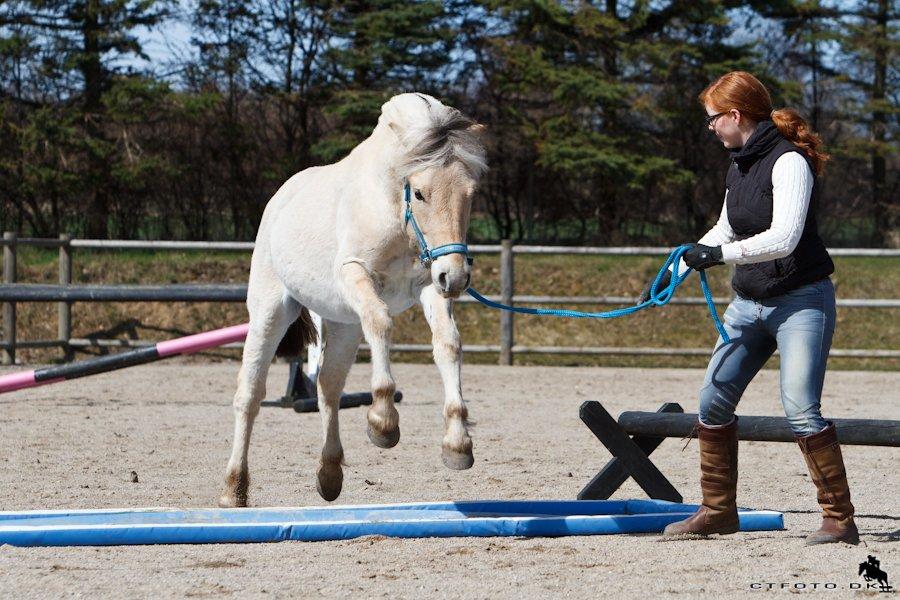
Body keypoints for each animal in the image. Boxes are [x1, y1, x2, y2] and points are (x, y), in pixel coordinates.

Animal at [218, 92, 488, 506]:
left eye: (470, 194)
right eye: (420, 193)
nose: (456, 277)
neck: (393, 206)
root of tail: (280, 198)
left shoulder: (429, 285)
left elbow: (448, 344)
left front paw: (457, 444)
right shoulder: (356, 275)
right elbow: (381, 321)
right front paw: (383, 422)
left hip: (343, 323)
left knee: (328, 386)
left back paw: (329, 475)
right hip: (270, 311)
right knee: (249, 394)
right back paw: (234, 490)